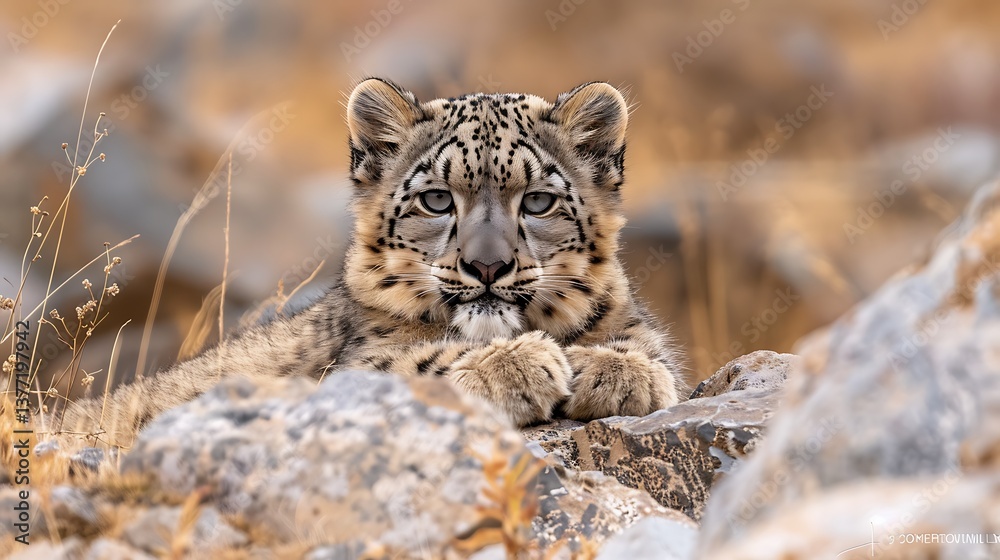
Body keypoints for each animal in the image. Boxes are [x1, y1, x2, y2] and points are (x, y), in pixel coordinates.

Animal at [59, 78, 685, 445]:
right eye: (437, 199)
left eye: (536, 201)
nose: (487, 267)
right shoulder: (357, 366)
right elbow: (409, 364)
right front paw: (516, 364)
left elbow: (650, 351)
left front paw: (620, 369)